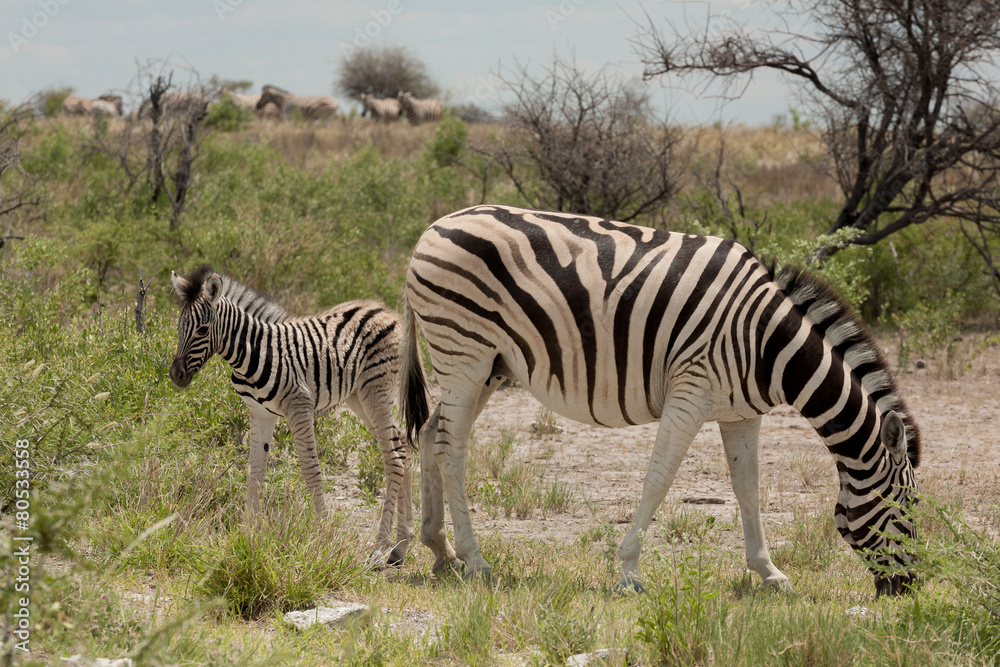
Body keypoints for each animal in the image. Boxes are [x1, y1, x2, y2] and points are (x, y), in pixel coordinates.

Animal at [169, 266, 414, 566]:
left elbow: (311, 471)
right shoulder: (260, 414)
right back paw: (400, 547)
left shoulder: (299, 406)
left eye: (203, 329)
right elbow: (255, 473)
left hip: (376, 391)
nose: (176, 376)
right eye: (179, 327)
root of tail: (384, 311)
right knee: (403, 448)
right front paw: (248, 534)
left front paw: (323, 536)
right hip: (358, 398)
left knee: (393, 458)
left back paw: (380, 547)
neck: (250, 353)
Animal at [399, 204, 921, 596]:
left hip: (489, 365)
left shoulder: (741, 414)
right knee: (451, 447)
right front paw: (629, 572)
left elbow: (748, 489)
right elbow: (659, 480)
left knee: (429, 432)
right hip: (465, 353)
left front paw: (769, 574)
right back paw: (474, 560)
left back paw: (438, 551)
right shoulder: (689, 393)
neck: (768, 344)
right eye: (908, 512)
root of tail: (432, 228)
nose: (907, 590)